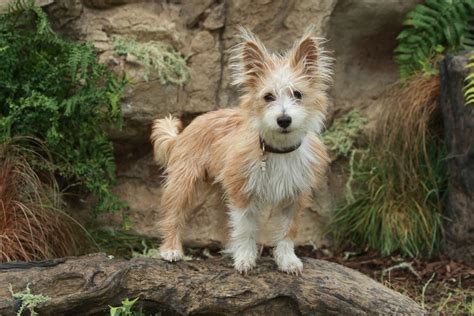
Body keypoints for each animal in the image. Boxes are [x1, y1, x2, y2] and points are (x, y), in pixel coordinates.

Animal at [150, 27, 332, 274]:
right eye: (268, 97)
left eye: (298, 94)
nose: (284, 119)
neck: (278, 149)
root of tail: (184, 132)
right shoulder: (242, 193)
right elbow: (245, 228)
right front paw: (245, 258)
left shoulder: (294, 198)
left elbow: (288, 231)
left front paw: (287, 260)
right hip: (183, 183)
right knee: (173, 215)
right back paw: (171, 249)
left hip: (220, 192)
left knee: (224, 224)